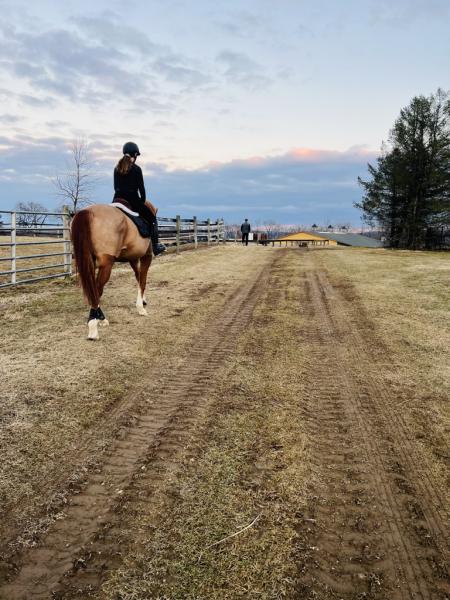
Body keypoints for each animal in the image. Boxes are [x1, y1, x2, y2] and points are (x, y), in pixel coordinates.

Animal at [70, 203, 155, 340]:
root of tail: (87, 211)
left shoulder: (132, 259)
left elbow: (138, 276)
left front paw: (143, 300)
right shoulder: (147, 256)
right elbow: (143, 280)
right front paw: (141, 308)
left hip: (89, 262)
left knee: (93, 290)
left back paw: (98, 319)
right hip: (106, 264)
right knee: (97, 290)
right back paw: (95, 325)